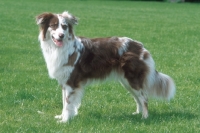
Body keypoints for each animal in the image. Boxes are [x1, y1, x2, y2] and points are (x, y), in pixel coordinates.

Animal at [35, 11, 175, 122]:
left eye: (64, 27)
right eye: (53, 26)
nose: (61, 35)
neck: (60, 48)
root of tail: (140, 46)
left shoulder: (71, 82)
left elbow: (68, 103)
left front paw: (65, 121)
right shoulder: (65, 82)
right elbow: (65, 102)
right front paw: (63, 116)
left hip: (132, 79)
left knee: (144, 97)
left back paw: (145, 117)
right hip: (126, 82)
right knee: (138, 98)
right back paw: (137, 113)